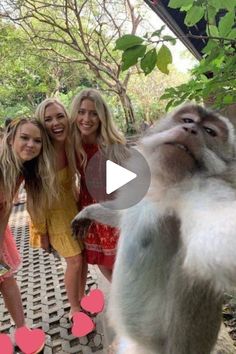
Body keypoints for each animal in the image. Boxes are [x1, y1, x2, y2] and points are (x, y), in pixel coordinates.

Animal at [72, 104, 236, 354]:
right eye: (188, 120)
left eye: (209, 131)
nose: (190, 130)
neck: (165, 184)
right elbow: (122, 215)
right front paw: (87, 213)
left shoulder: (203, 191)